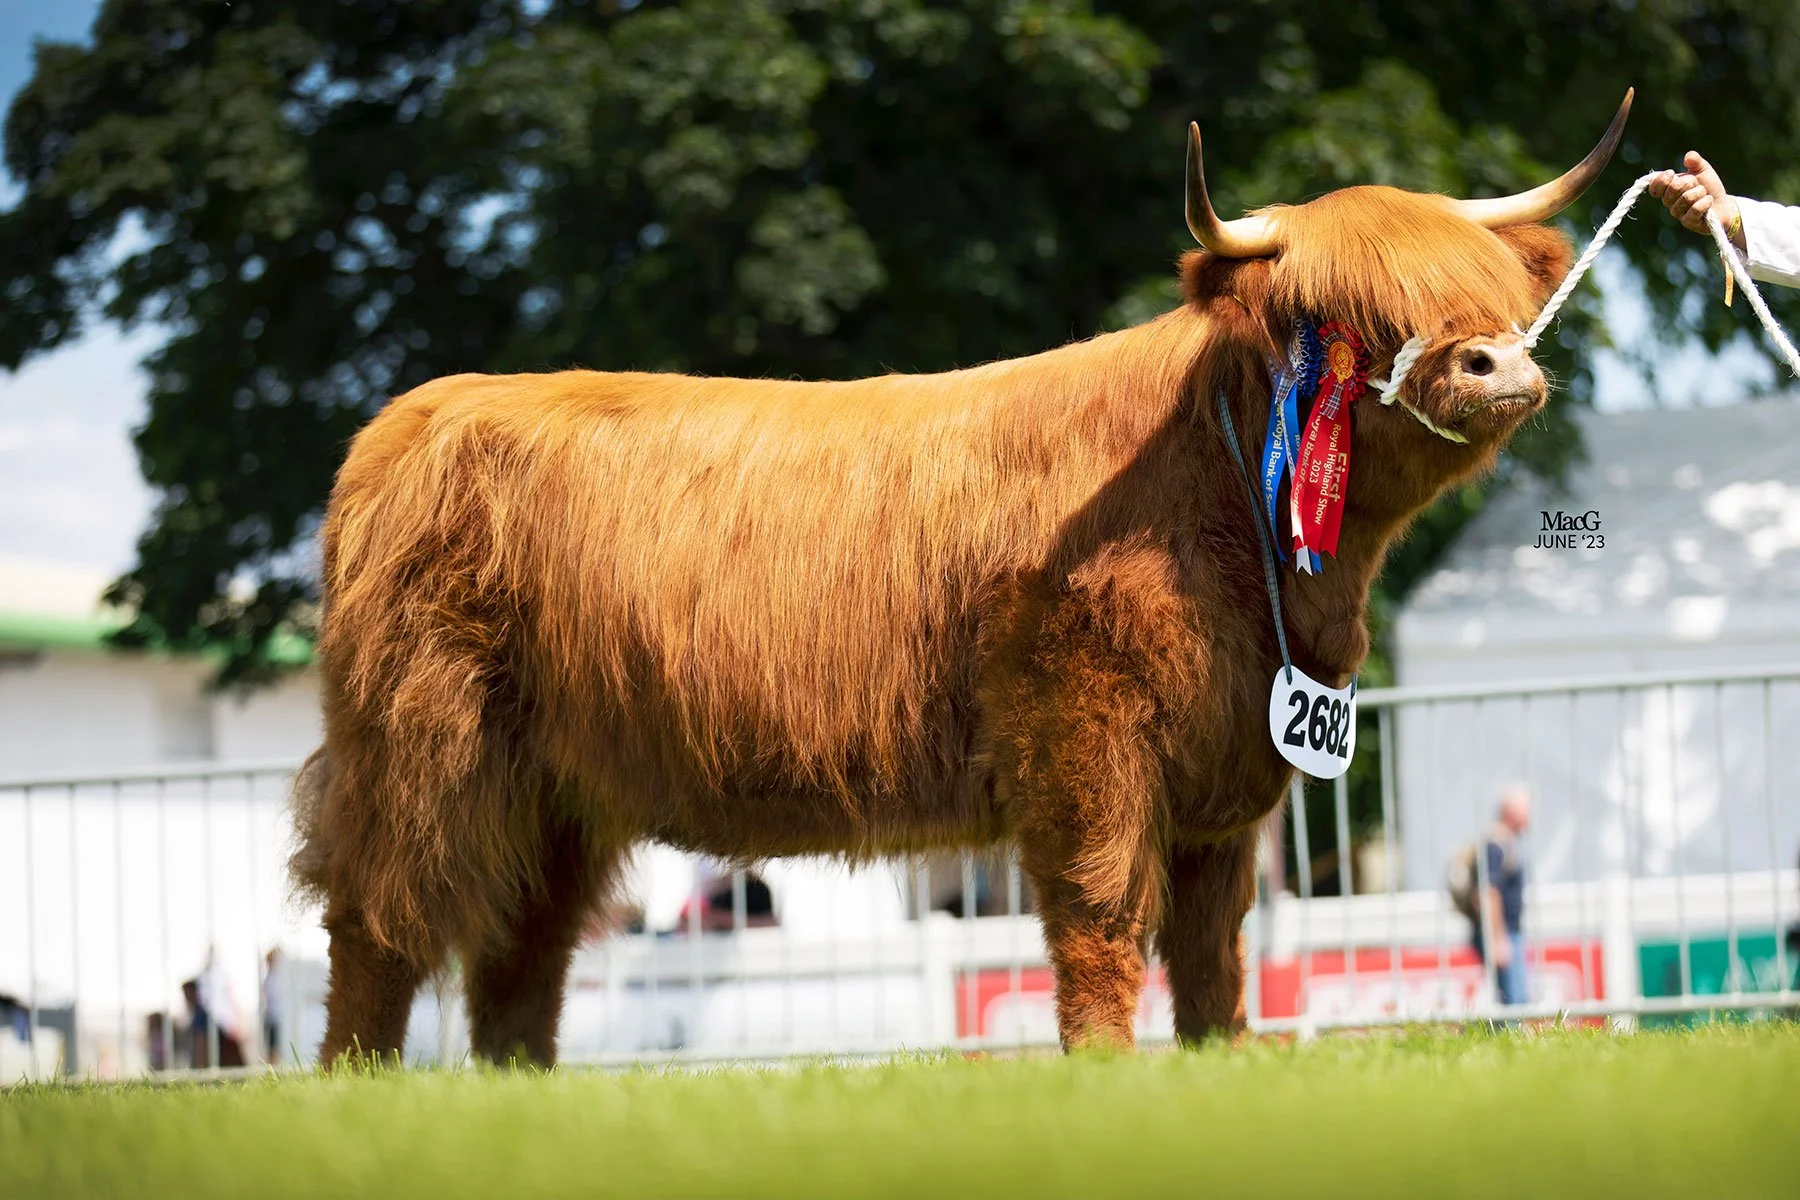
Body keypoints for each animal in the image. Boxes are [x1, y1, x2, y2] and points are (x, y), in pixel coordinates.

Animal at [292, 92, 1632, 1066]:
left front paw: (1221, 1069)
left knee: (523, 958)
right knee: (378, 928)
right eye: (1343, 312)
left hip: (555, 794)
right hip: (423, 750)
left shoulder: (1226, 772)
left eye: (1488, 288)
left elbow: (1213, 950)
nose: (1495, 365)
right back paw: (359, 1090)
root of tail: (410, 419)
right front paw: (1105, 1076)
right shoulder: (1082, 733)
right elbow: (1101, 918)